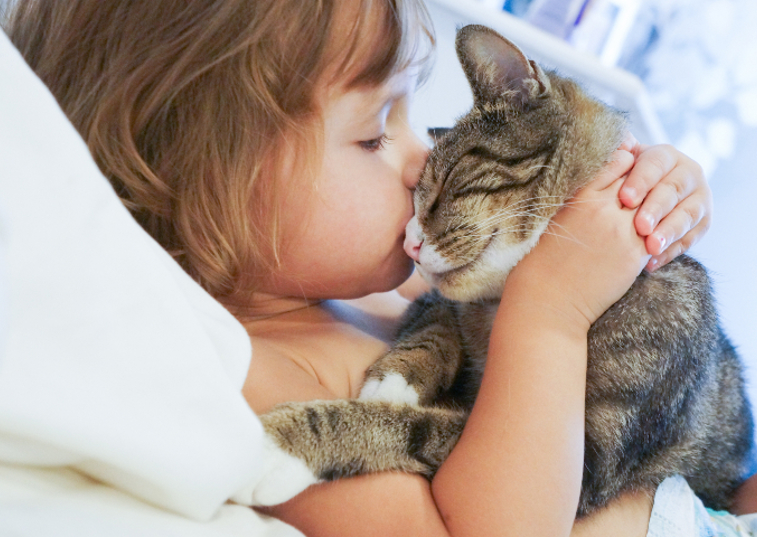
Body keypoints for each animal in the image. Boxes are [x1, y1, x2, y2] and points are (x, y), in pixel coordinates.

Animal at [254, 25, 752, 516]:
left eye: (448, 179)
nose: (408, 242)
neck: (501, 304)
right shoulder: (432, 299)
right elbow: (437, 324)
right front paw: (396, 378)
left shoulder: (586, 459)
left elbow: (413, 429)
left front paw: (284, 444)